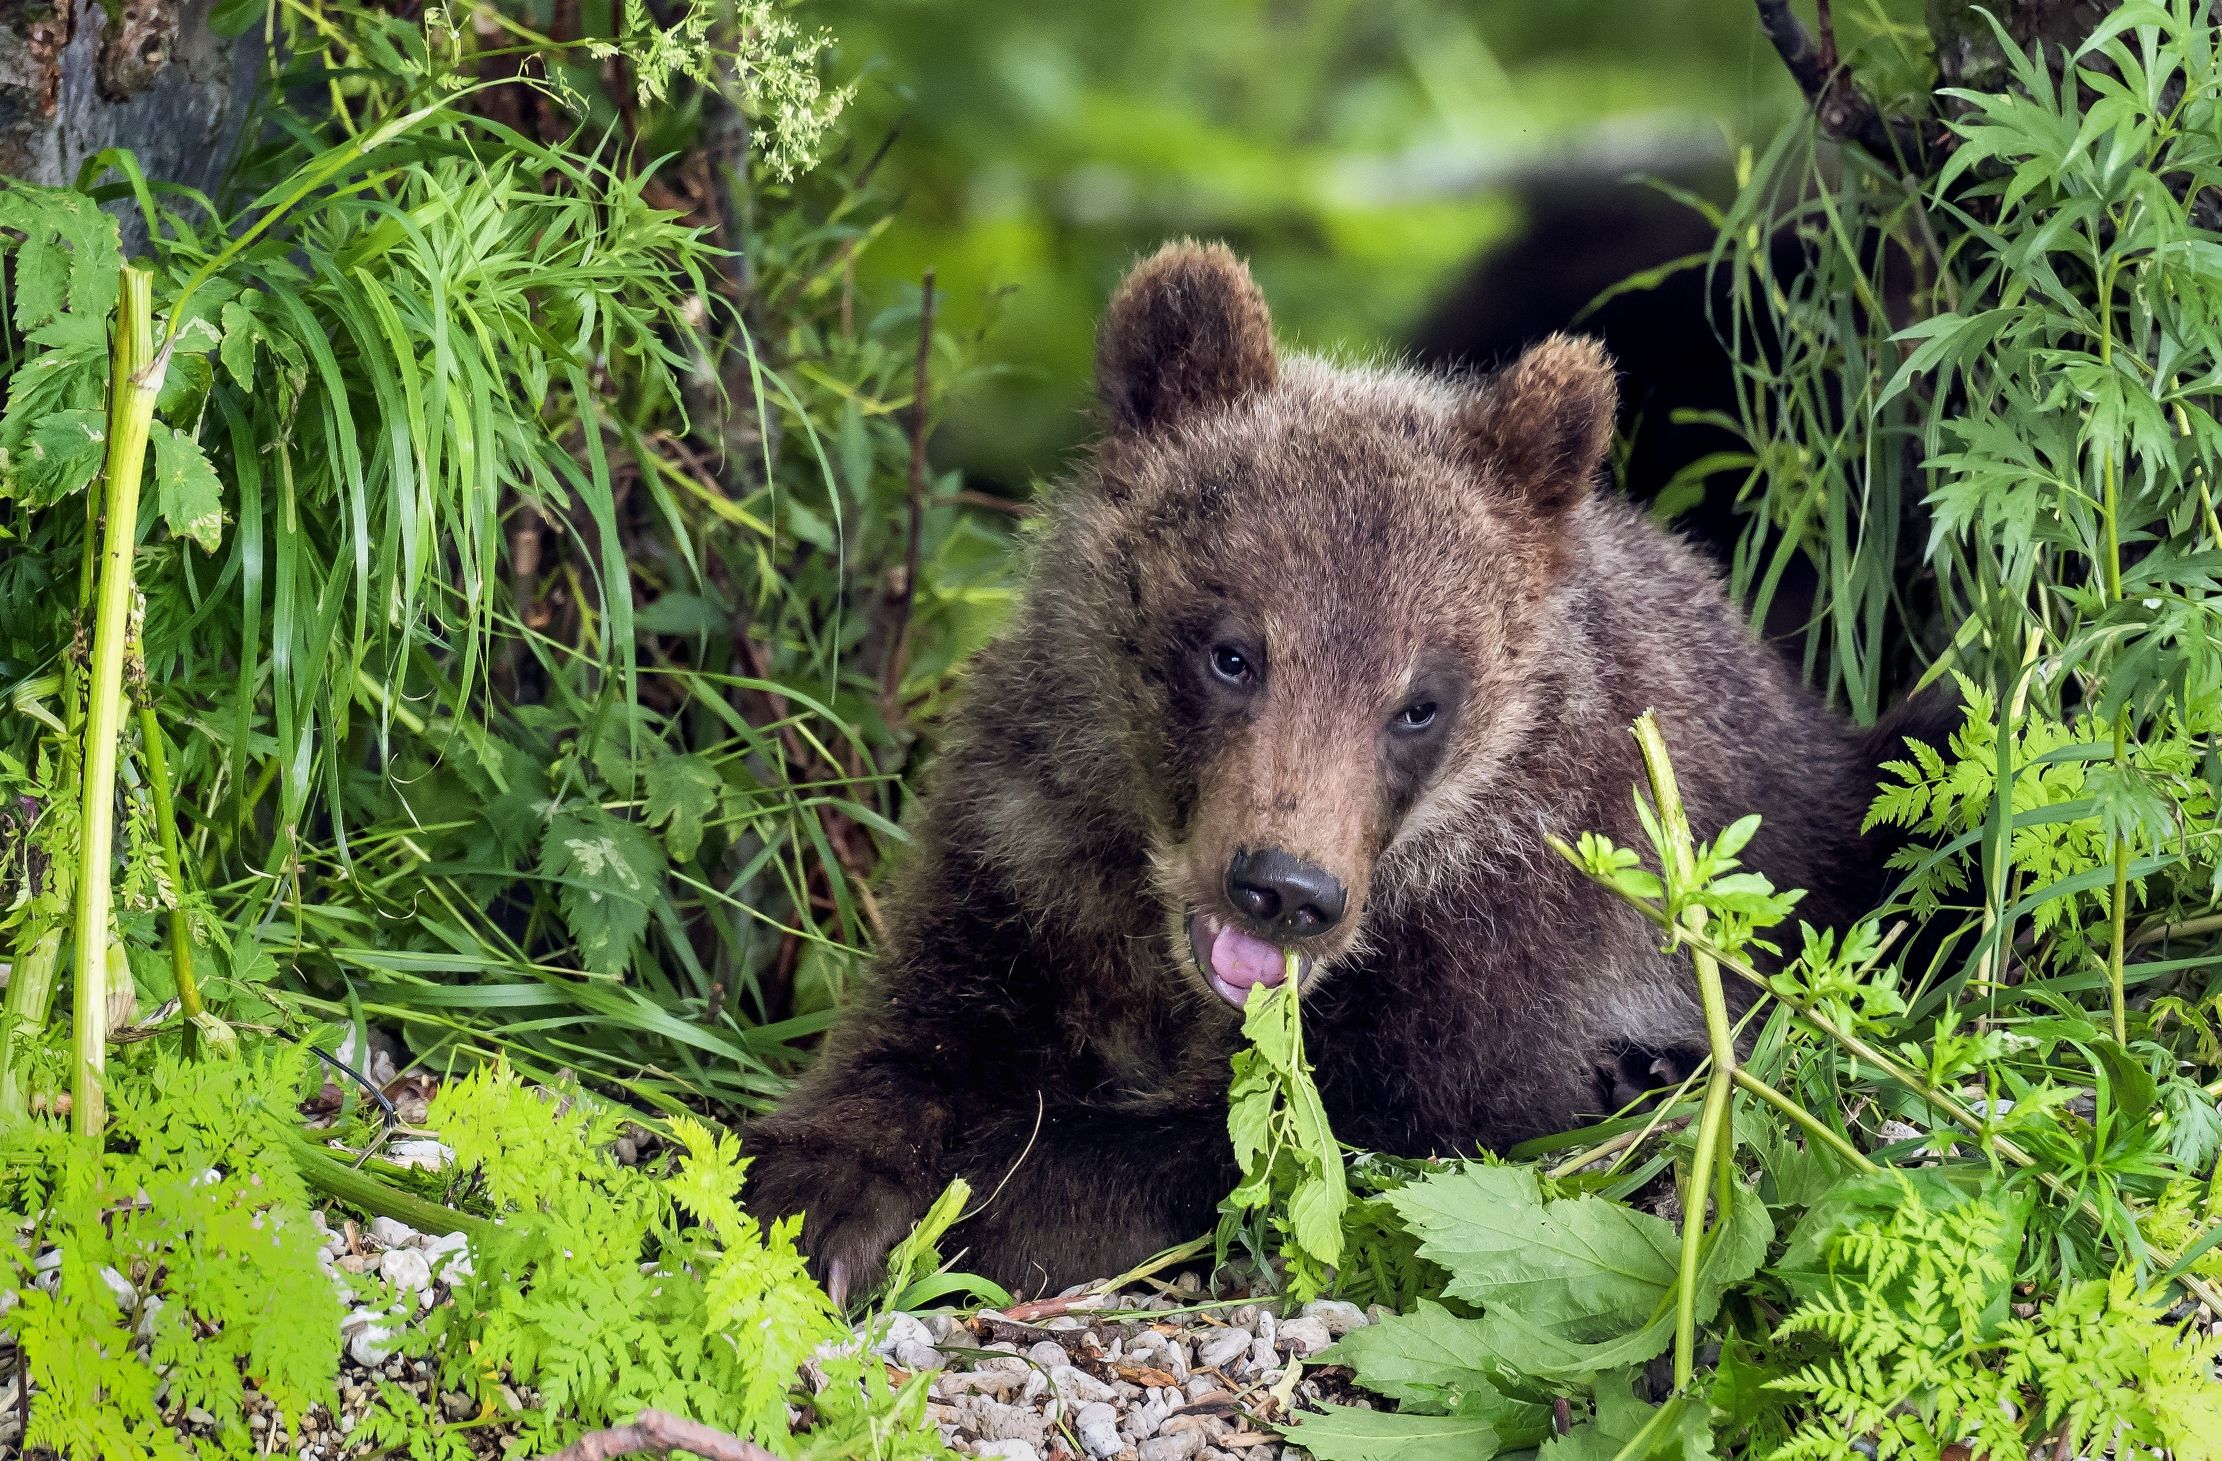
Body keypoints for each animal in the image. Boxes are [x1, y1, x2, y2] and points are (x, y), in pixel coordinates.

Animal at [742, 238, 1893, 1296]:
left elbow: (1316, 1134)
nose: (1285, 888)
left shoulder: (1509, 937)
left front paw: (993, 1197)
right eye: (1231, 652)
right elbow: (920, 1034)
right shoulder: (1027, 848)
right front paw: (812, 1190)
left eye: (1418, 702)